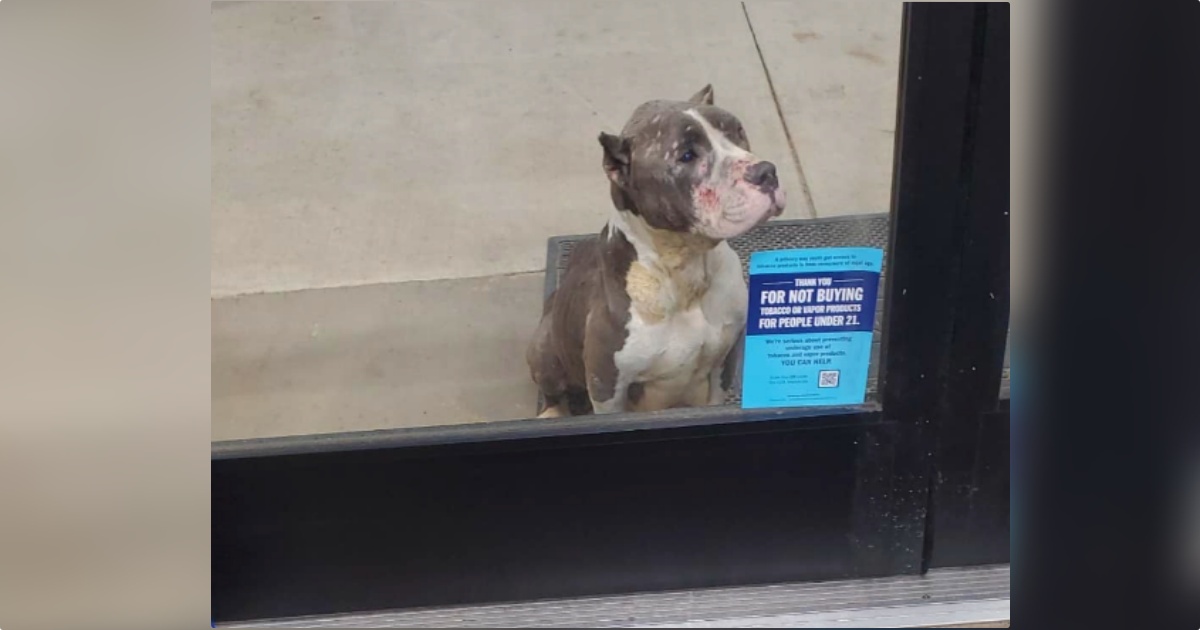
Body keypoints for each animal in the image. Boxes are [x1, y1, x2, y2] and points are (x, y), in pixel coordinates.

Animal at [528, 84, 787, 417]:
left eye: (737, 131)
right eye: (686, 155)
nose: (766, 171)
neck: (684, 268)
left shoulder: (724, 361)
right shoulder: (607, 386)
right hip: (545, 349)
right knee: (551, 388)